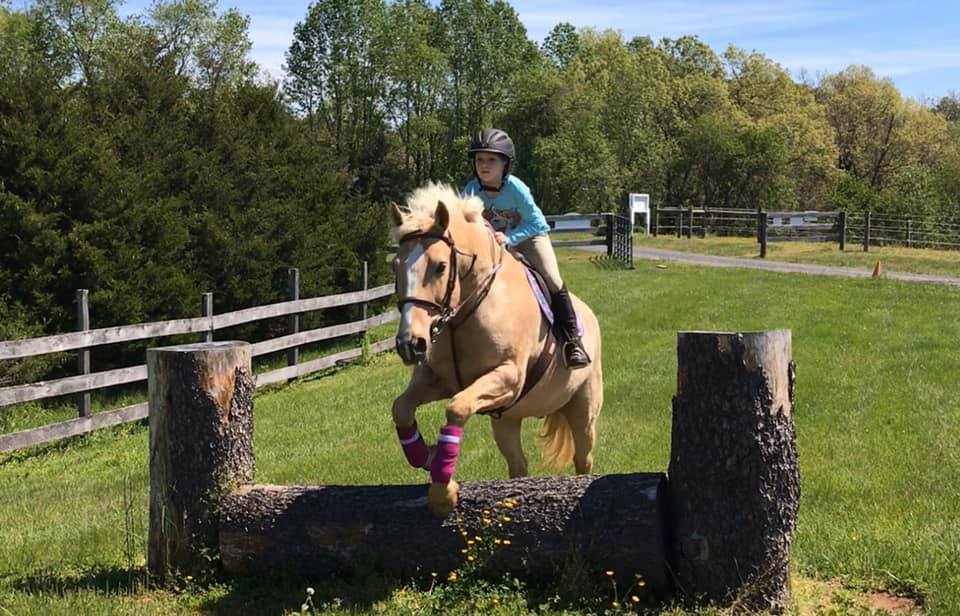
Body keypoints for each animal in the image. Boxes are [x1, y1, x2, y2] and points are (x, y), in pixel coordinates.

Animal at [389, 182, 603, 516]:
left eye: (440, 267)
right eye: (395, 267)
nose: (411, 344)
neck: (462, 314)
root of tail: (590, 316)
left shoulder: (508, 377)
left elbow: (456, 409)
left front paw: (442, 493)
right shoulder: (439, 380)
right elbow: (401, 408)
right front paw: (429, 456)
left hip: (583, 408)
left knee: (584, 458)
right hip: (508, 420)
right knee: (519, 465)